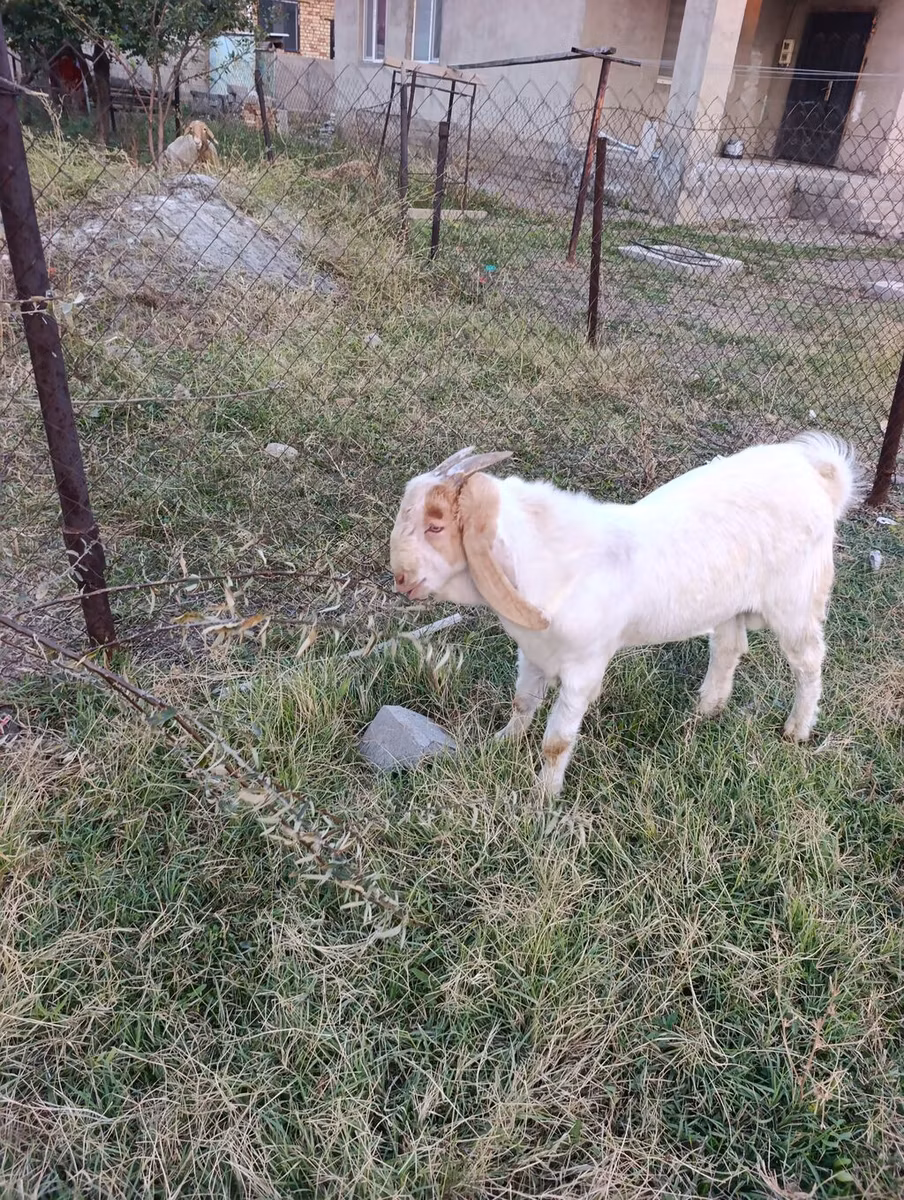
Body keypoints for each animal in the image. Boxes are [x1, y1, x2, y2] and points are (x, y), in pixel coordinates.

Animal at [389, 436, 861, 796]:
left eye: (435, 526)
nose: (401, 578)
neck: (554, 561)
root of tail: (815, 475)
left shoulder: (584, 668)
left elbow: (557, 742)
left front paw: (543, 798)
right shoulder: (535, 652)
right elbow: (522, 702)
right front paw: (500, 743)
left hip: (795, 601)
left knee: (808, 662)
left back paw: (796, 730)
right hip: (728, 602)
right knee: (729, 647)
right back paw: (706, 709)